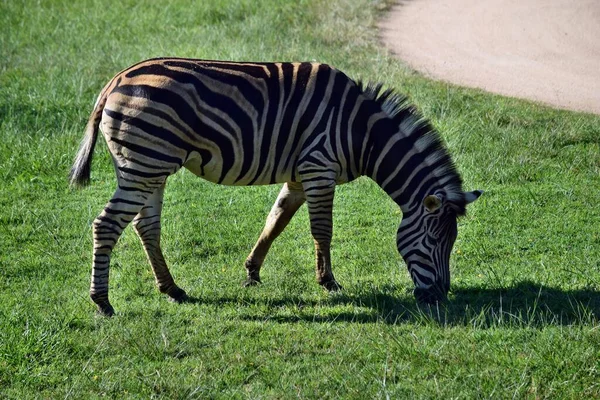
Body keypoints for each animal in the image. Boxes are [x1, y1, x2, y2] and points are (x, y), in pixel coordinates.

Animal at [70, 58, 482, 316]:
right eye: (434, 241)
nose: (439, 298)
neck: (362, 133)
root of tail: (115, 81)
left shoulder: (300, 175)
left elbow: (275, 222)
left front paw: (252, 272)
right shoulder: (319, 166)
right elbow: (322, 231)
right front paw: (329, 282)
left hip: (149, 168)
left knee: (146, 226)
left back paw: (171, 289)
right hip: (145, 163)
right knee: (107, 225)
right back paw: (102, 302)